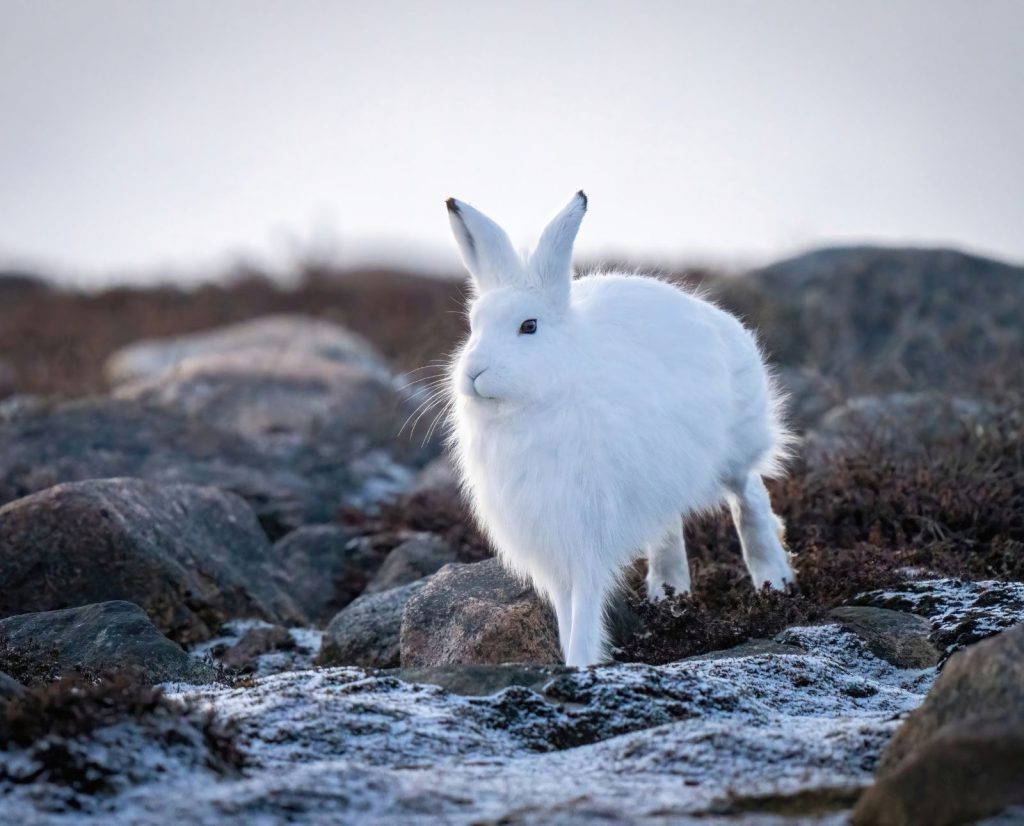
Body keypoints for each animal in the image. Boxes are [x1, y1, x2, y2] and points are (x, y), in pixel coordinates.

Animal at [443, 191, 795, 667]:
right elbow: (564, 608)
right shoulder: (549, 540)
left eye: (528, 326)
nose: (474, 373)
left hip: (736, 448)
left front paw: (578, 662)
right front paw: (572, 658)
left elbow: (585, 603)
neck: (532, 407)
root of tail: (718, 319)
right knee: (668, 526)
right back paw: (670, 596)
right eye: (473, 326)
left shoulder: (586, 528)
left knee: (750, 498)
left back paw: (775, 582)